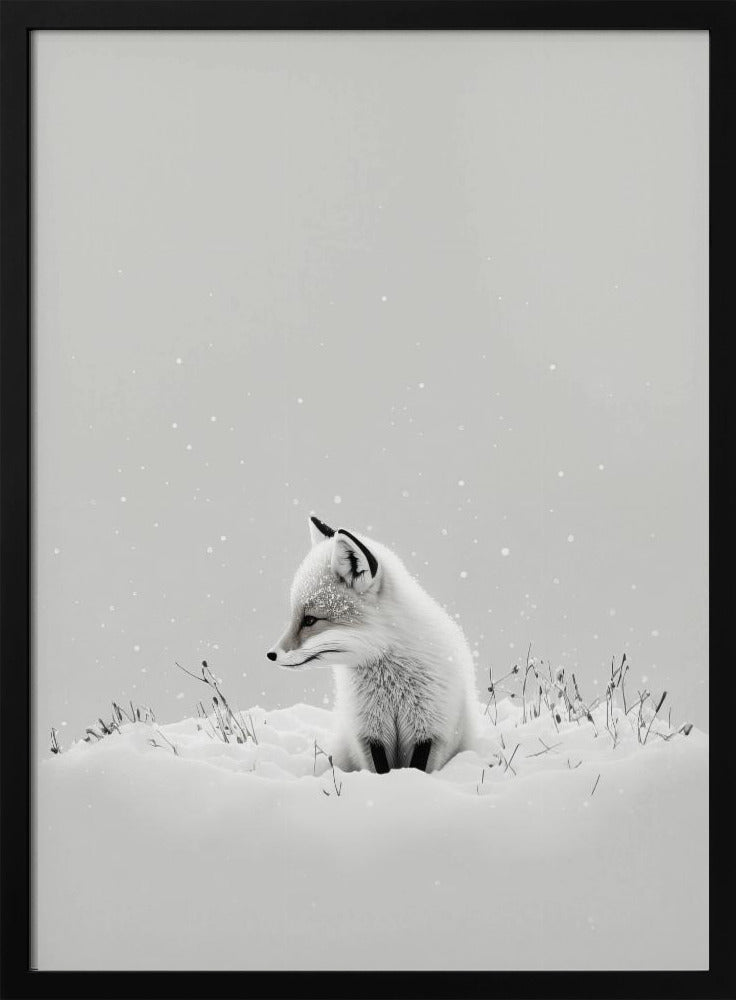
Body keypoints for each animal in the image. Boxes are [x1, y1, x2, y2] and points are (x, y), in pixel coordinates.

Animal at [267, 515, 479, 774]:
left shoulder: (429, 728)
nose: (271, 654)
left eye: (309, 620)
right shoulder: (369, 731)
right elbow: (380, 769)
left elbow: (417, 768)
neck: (391, 684)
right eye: (295, 617)